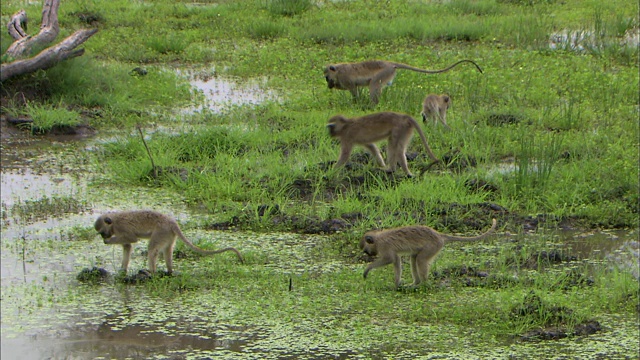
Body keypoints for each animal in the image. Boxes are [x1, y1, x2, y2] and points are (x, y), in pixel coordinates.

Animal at [94, 210, 244, 274]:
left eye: (101, 232)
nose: (103, 236)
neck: (114, 221)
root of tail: (172, 222)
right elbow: (127, 246)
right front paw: (122, 270)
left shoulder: (122, 228)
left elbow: (131, 239)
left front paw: (108, 241)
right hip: (168, 234)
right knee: (167, 250)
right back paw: (169, 270)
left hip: (161, 231)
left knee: (152, 249)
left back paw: (151, 272)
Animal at [322, 59, 482, 105]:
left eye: (326, 77)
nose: (328, 84)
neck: (338, 70)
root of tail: (390, 64)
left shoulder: (346, 78)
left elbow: (353, 91)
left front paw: (356, 103)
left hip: (384, 73)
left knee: (374, 85)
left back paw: (372, 105)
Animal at [358, 218, 498, 288]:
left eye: (365, 250)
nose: (369, 254)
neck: (378, 239)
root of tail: (439, 235)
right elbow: (396, 260)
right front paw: (397, 284)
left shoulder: (384, 246)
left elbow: (390, 259)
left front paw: (367, 269)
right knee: (414, 258)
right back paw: (416, 283)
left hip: (433, 246)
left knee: (420, 259)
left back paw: (423, 284)